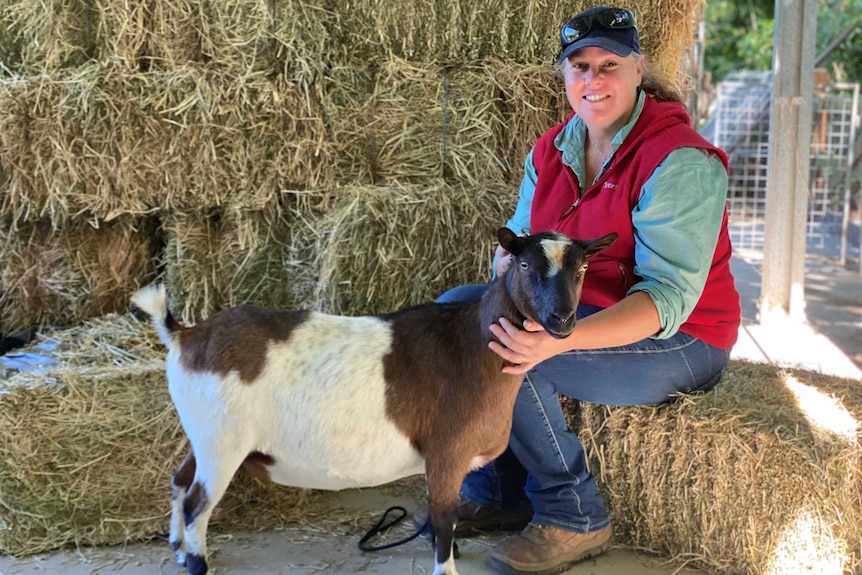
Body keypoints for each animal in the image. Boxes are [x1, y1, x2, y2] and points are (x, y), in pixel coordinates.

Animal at [130, 228, 616, 575]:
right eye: (526, 263)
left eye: (582, 269)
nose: (562, 320)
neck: (472, 346)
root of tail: (185, 333)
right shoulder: (446, 452)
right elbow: (443, 519)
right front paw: (446, 568)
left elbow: (442, 518)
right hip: (222, 442)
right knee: (196, 502)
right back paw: (197, 563)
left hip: (205, 436)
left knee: (179, 480)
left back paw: (178, 550)